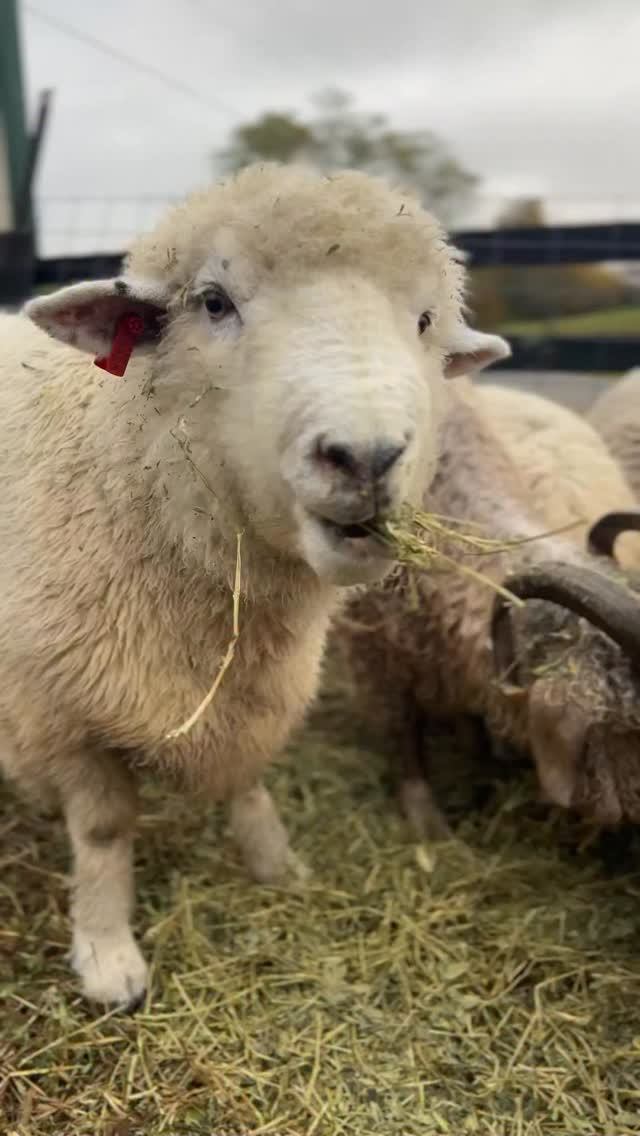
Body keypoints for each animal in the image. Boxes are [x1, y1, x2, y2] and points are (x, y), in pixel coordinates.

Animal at [0, 162, 510, 1007]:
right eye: (214, 302)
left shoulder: (254, 689)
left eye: (426, 320)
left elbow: (247, 780)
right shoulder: (61, 707)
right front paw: (107, 954)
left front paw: (278, 866)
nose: (366, 457)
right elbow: (103, 828)